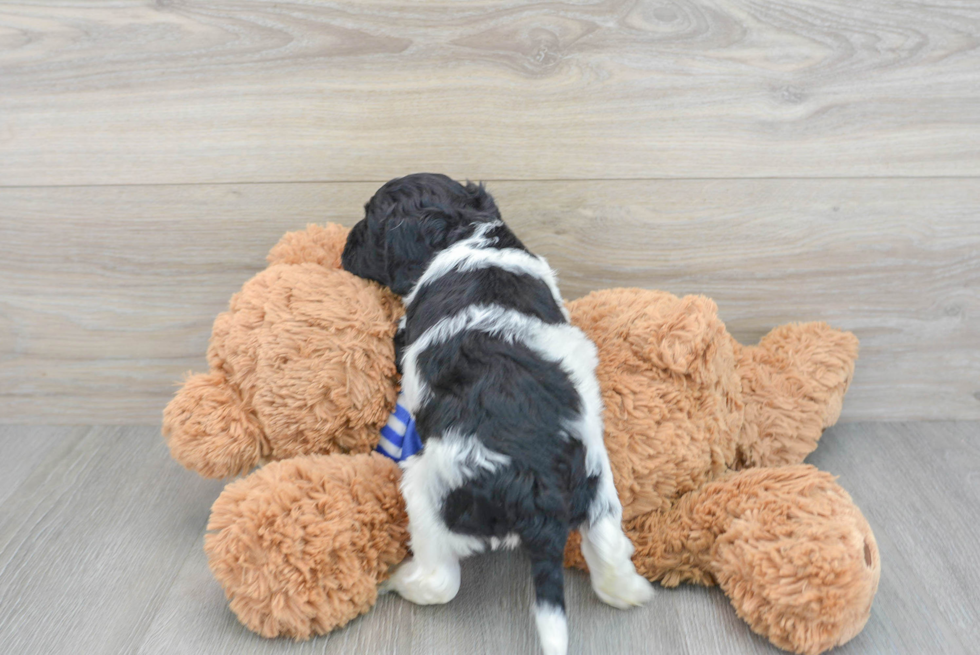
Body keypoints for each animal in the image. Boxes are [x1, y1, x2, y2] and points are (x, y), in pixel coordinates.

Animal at [340, 174, 656, 655]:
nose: (342, 248)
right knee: (609, 549)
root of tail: (540, 493)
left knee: (440, 581)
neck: (465, 230)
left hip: (428, 491)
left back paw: (399, 581)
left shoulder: (406, 332)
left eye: (369, 221)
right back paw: (631, 591)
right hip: (597, 487)